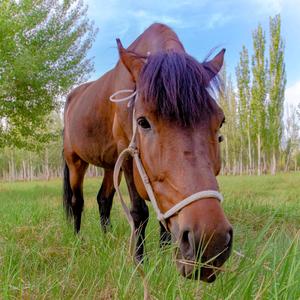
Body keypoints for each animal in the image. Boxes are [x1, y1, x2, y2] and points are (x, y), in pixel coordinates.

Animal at [62, 22, 232, 282]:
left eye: (220, 121)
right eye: (143, 122)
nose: (210, 242)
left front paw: (163, 255)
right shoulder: (128, 155)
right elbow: (139, 211)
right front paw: (140, 261)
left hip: (111, 165)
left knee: (103, 199)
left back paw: (107, 238)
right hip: (76, 162)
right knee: (76, 201)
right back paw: (78, 239)